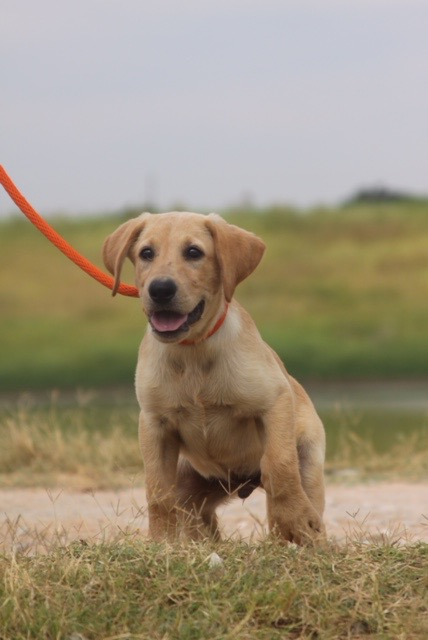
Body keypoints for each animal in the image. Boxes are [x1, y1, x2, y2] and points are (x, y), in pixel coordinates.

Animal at [103, 212, 324, 544]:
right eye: (146, 253)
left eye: (194, 252)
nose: (160, 289)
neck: (193, 352)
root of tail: (243, 481)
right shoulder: (154, 424)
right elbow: (157, 490)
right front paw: (162, 544)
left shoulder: (274, 401)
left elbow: (279, 466)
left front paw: (296, 521)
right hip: (190, 488)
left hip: (309, 454)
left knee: (296, 486)